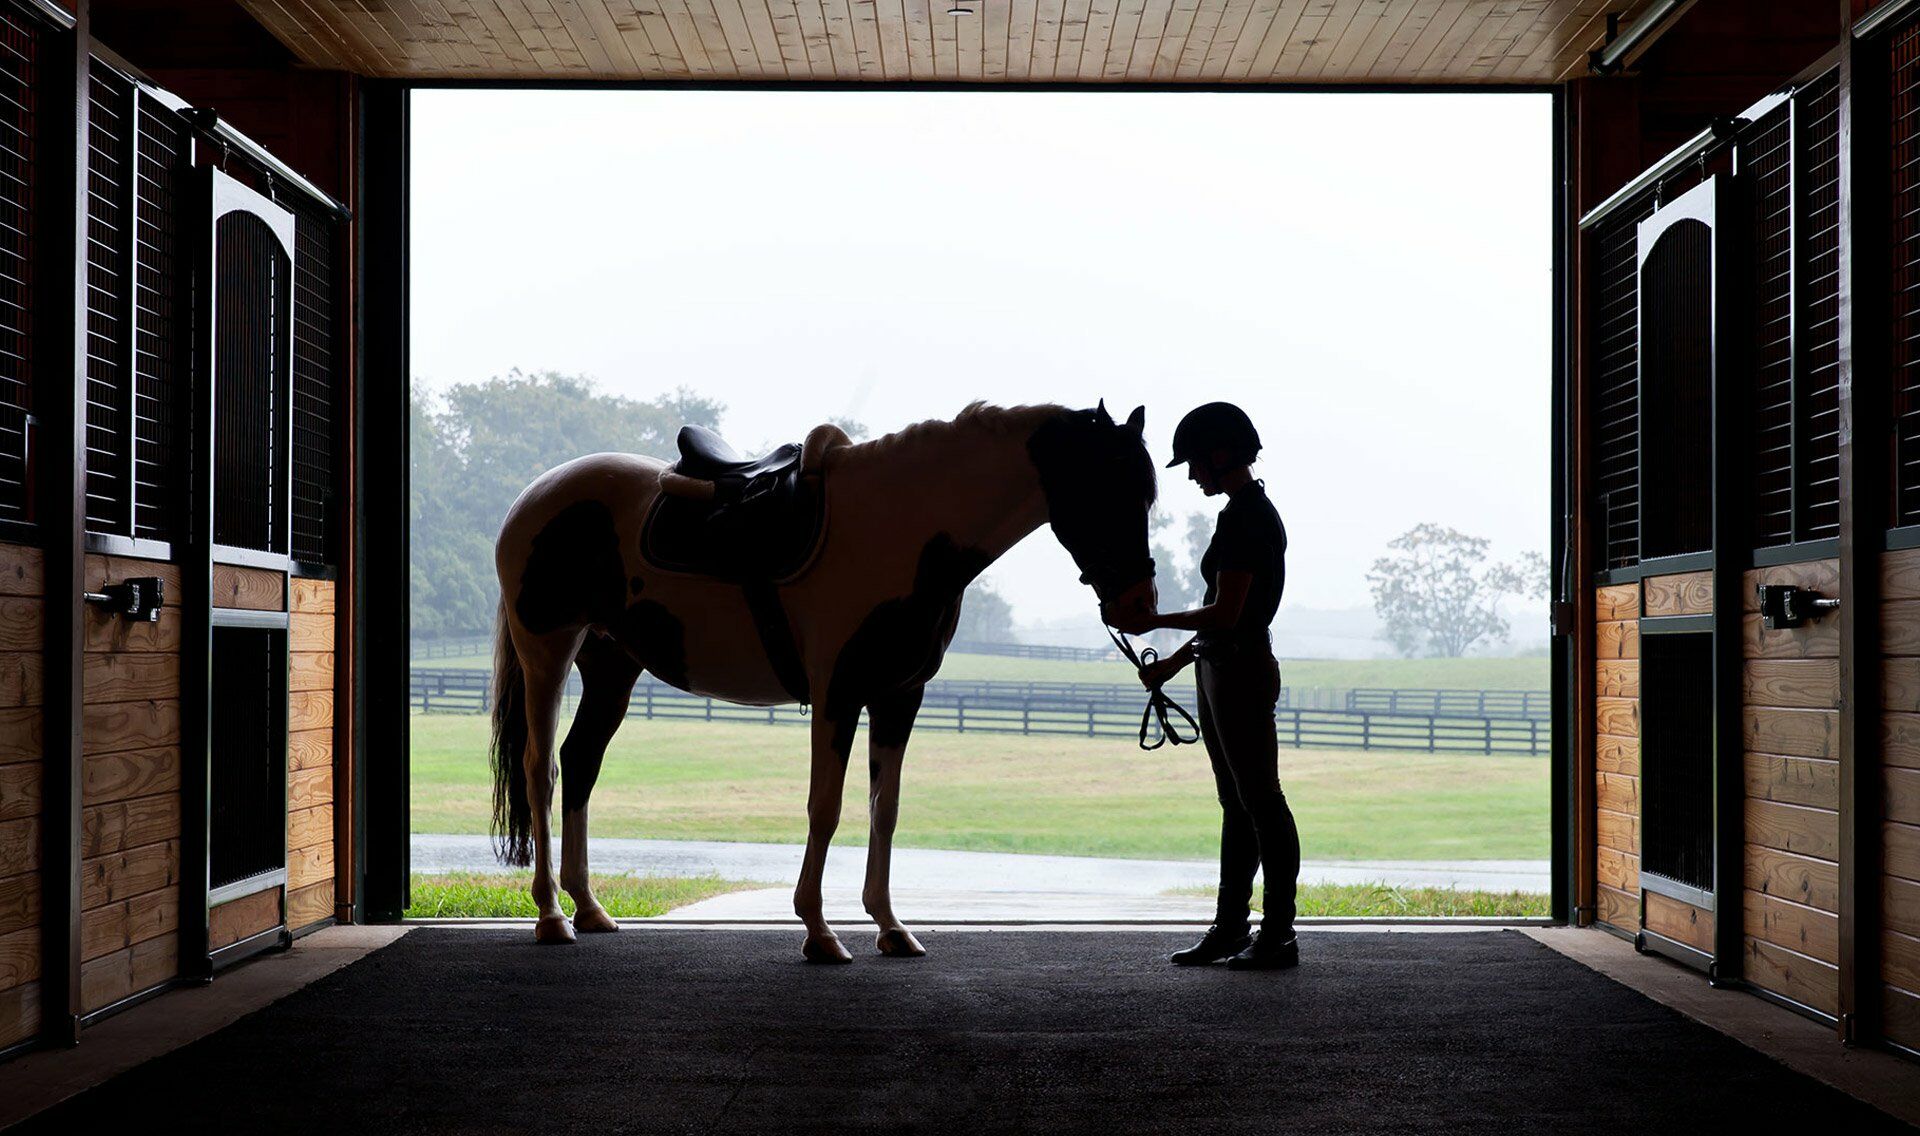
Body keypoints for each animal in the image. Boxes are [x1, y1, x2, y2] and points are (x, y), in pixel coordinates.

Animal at [487, 399, 1159, 959]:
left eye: (1145, 495)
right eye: (1106, 488)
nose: (1138, 606)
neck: (901, 527)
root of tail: (537, 495)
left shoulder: (898, 697)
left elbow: (884, 808)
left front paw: (890, 927)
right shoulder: (838, 693)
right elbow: (826, 807)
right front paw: (819, 931)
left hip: (612, 666)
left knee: (580, 763)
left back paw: (590, 908)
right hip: (547, 653)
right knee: (541, 770)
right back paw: (551, 917)